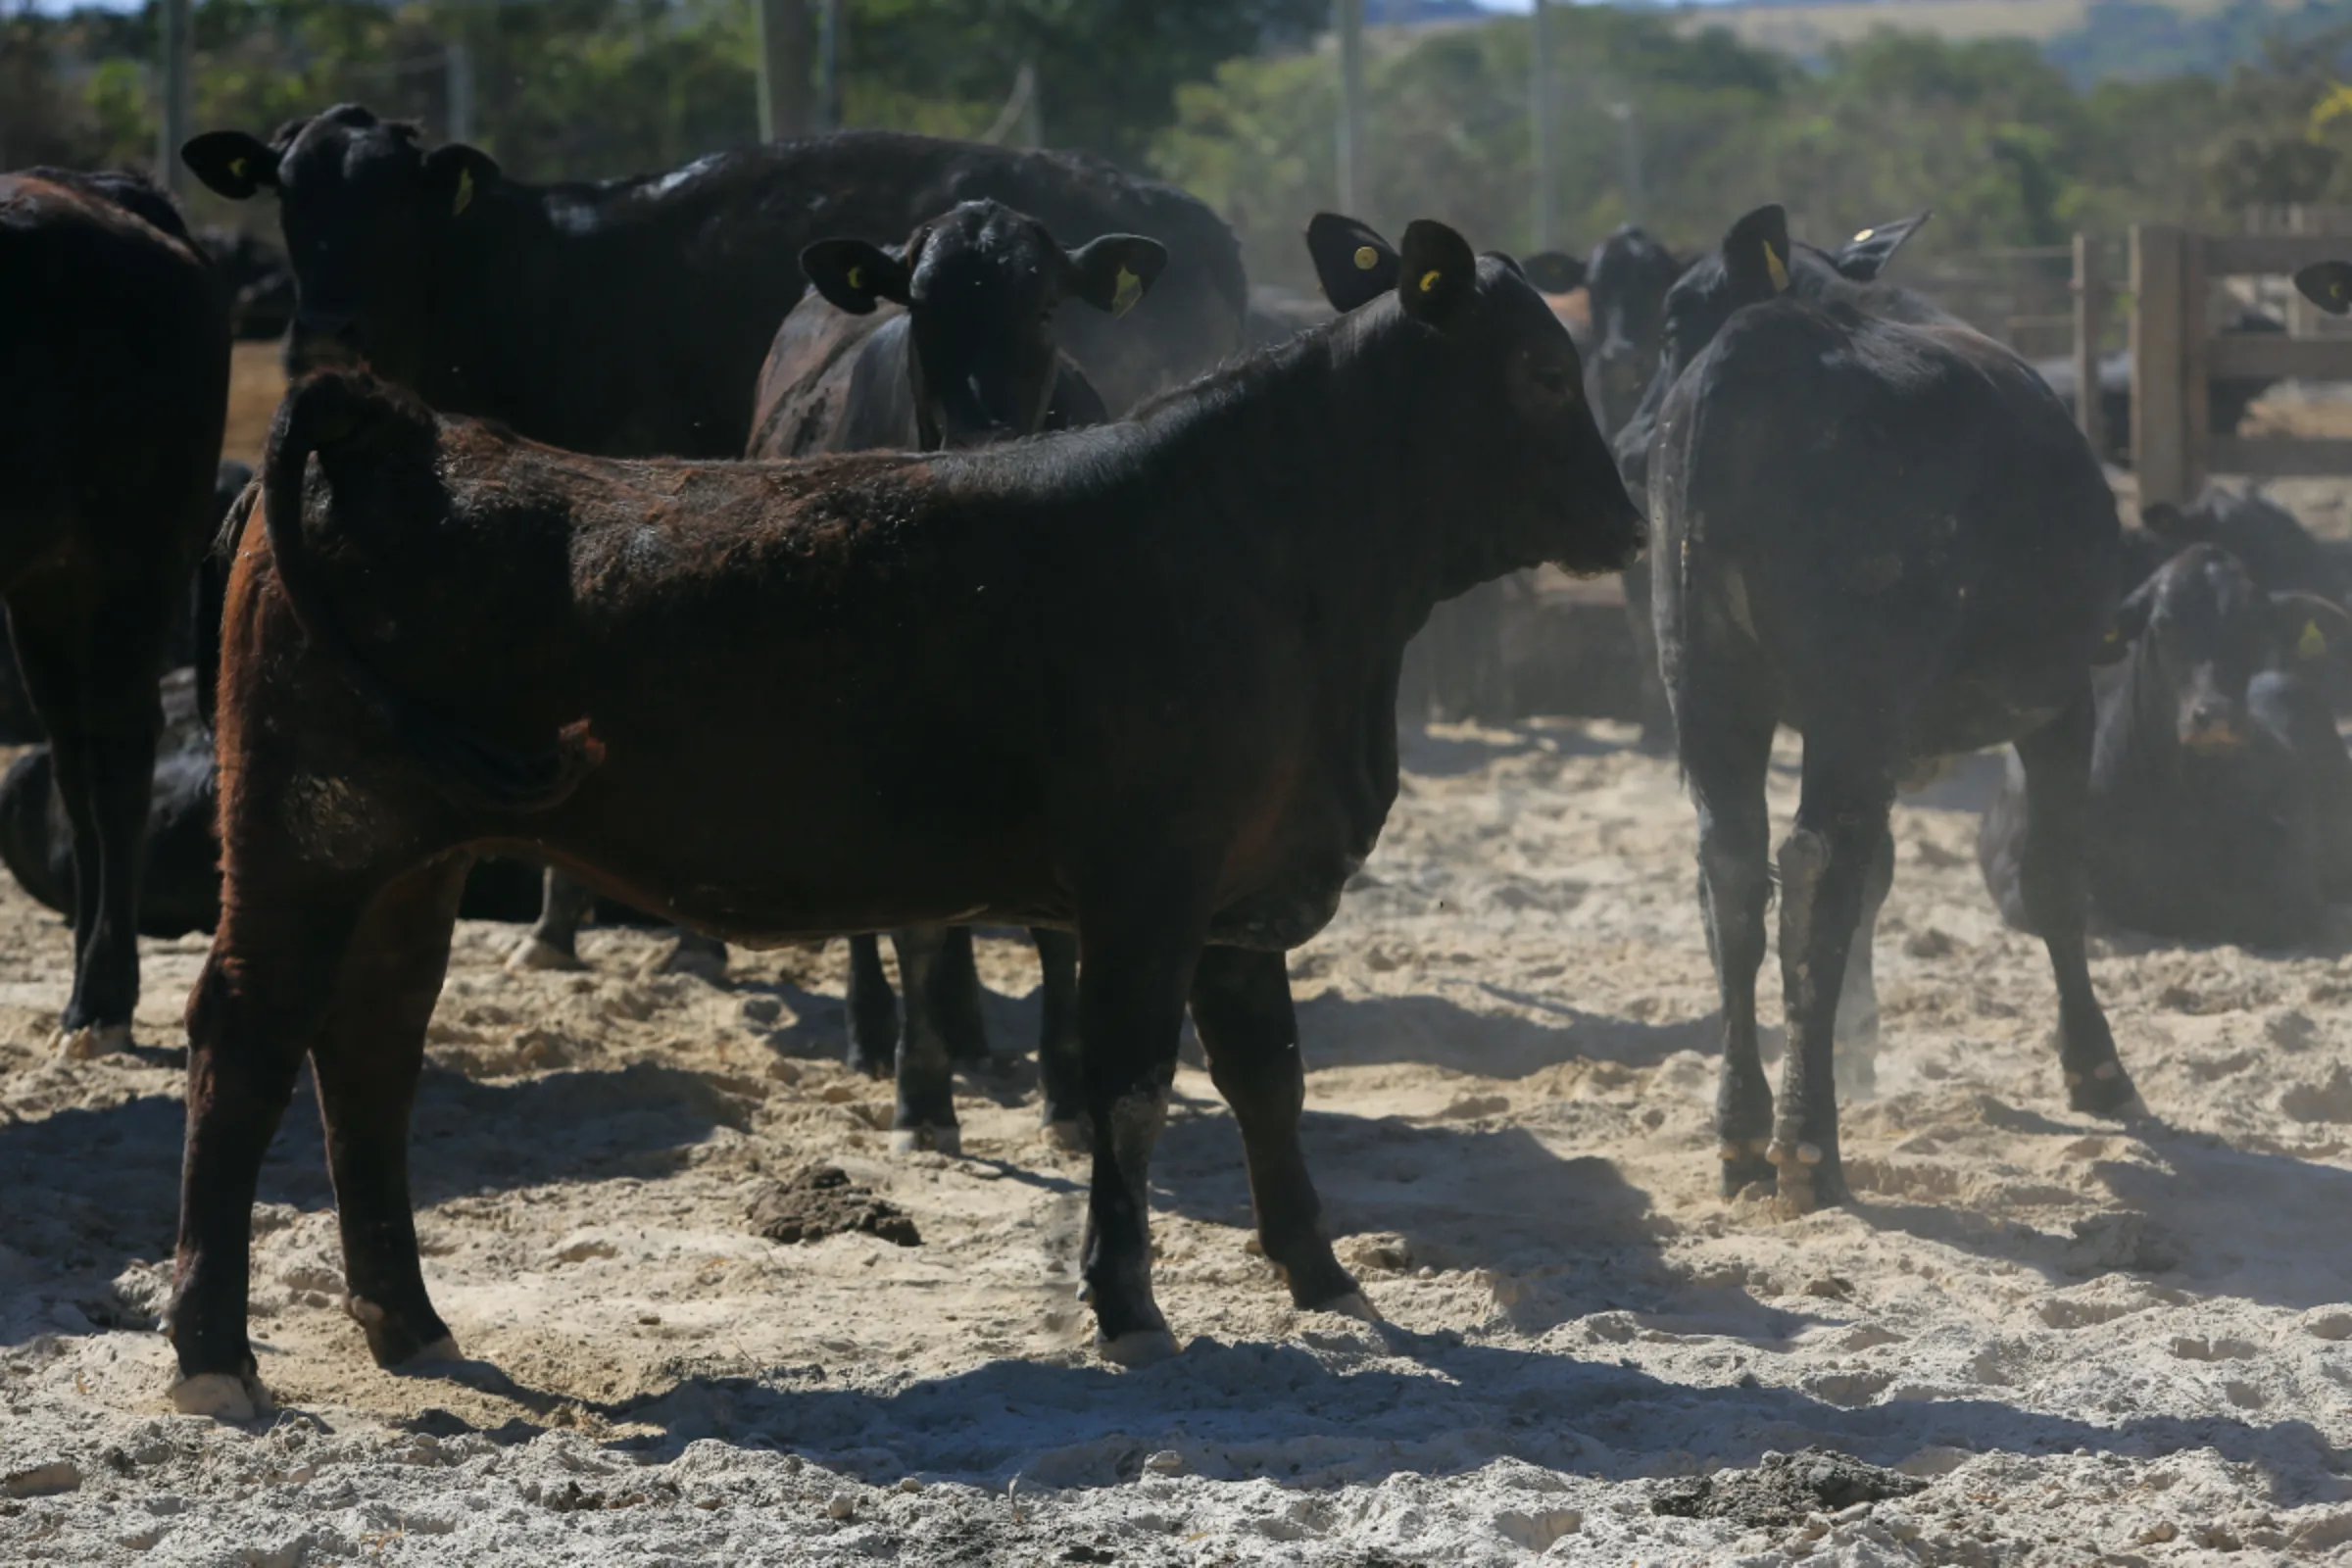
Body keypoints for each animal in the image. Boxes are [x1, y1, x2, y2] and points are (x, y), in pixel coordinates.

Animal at [743, 199, 1166, 1152]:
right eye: (923, 311)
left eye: (1045, 308)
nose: (981, 444)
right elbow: (916, 928)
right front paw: (923, 1097)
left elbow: (1058, 934)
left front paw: (1068, 1094)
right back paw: (876, 1033)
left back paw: (972, 1032)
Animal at [1618, 202, 2135, 1222]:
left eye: (1670, 324)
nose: (1623, 448)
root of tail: (1762, 343)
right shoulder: (2059, 699)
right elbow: (2055, 880)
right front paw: (2096, 1067)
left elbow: (1877, 881)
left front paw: (1857, 1041)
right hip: (1852, 699)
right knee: (1813, 868)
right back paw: (1809, 1148)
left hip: (1708, 687)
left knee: (1733, 871)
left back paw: (1746, 1132)